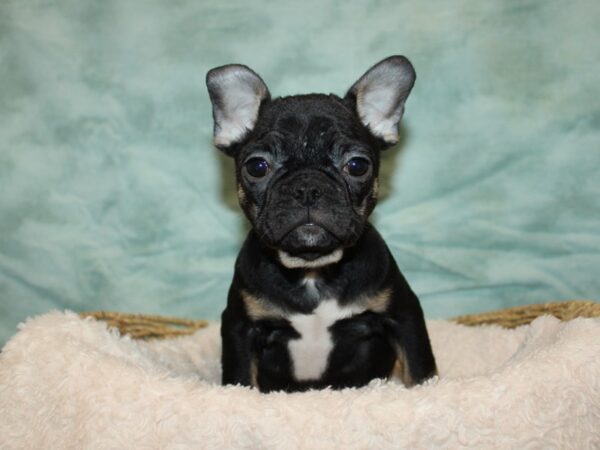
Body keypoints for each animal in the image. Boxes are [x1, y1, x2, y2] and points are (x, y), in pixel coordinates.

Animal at [206, 55, 436, 394]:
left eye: (357, 165)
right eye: (257, 166)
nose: (307, 187)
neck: (312, 270)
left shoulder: (404, 314)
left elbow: (419, 368)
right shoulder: (240, 327)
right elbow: (241, 378)